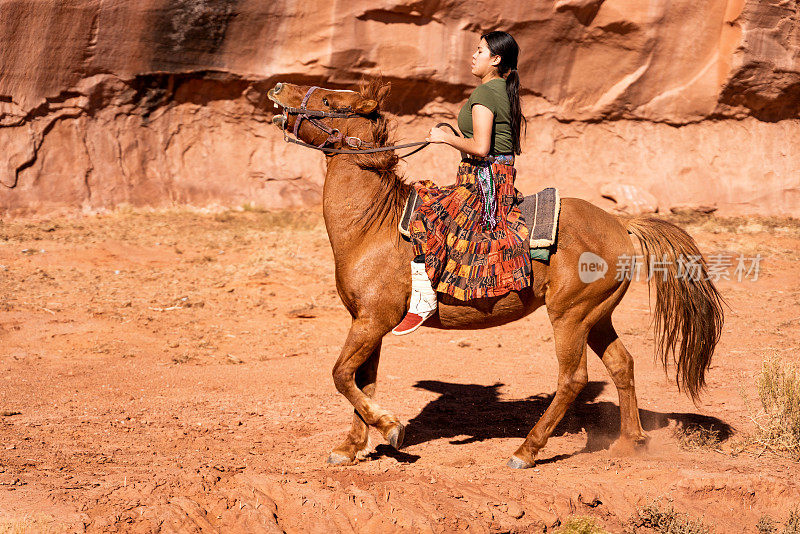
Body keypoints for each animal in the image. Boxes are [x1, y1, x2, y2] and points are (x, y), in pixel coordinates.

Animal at [266, 78, 720, 468]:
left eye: (330, 102)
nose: (277, 89)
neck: (372, 227)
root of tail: (622, 225)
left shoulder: (373, 319)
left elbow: (342, 375)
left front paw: (391, 428)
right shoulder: (367, 320)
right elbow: (362, 379)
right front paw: (350, 446)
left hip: (570, 317)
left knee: (573, 378)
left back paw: (527, 451)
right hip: (597, 316)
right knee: (622, 364)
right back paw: (629, 442)